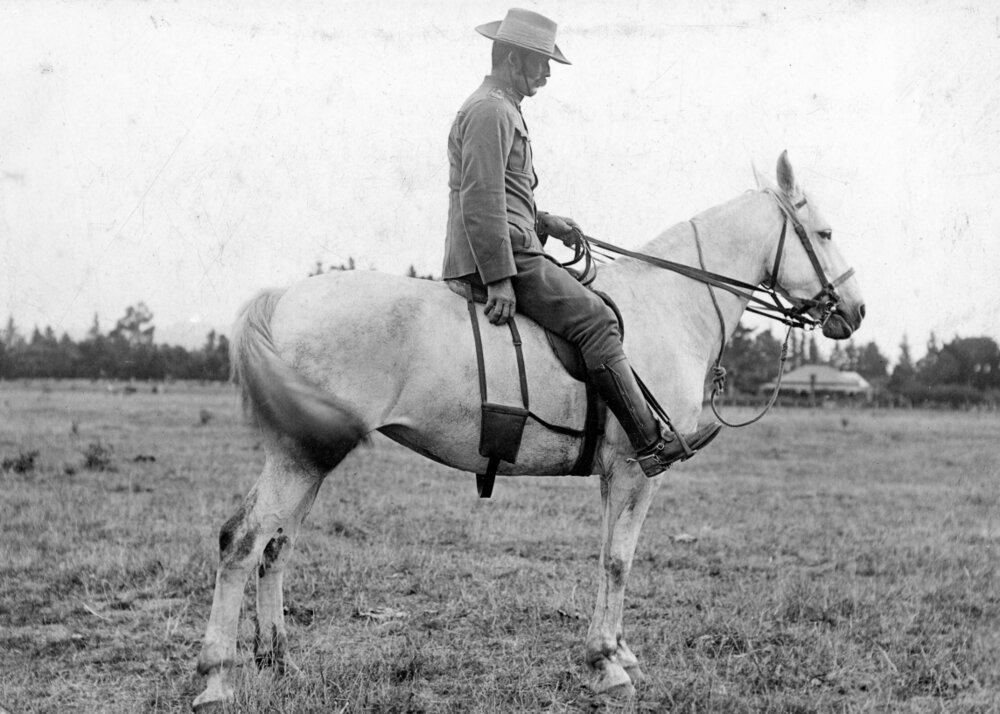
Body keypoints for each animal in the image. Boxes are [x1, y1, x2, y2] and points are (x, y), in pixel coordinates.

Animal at [192, 152, 865, 710]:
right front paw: (606, 665)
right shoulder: (636, 469)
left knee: (275, 546)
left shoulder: (612, 474)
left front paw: (617, 652)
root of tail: (285, 297)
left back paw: (280, 662)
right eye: (826, 233)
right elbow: (618, 560)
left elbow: (608, 555)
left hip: (311, 454)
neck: (670, 305)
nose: (856, 312)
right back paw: (217, 679)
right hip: (301, 457)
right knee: (243, 540)